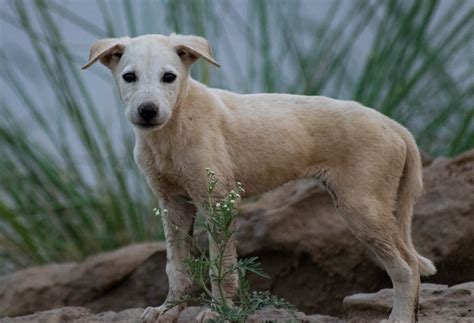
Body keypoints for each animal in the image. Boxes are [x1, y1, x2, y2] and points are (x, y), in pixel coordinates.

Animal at [82, 34, 436, 322]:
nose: (147, 111)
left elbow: (221, 265)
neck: (174, 128)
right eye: (129, 77)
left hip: (361, 206)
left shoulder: (220, 201)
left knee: (405, 270)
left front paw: (219, 311)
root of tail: (394, 126)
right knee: (412, 264)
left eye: (169, 77)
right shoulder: (173, 204)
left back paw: (399, 318)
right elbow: (176, 267)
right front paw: (167, 312)